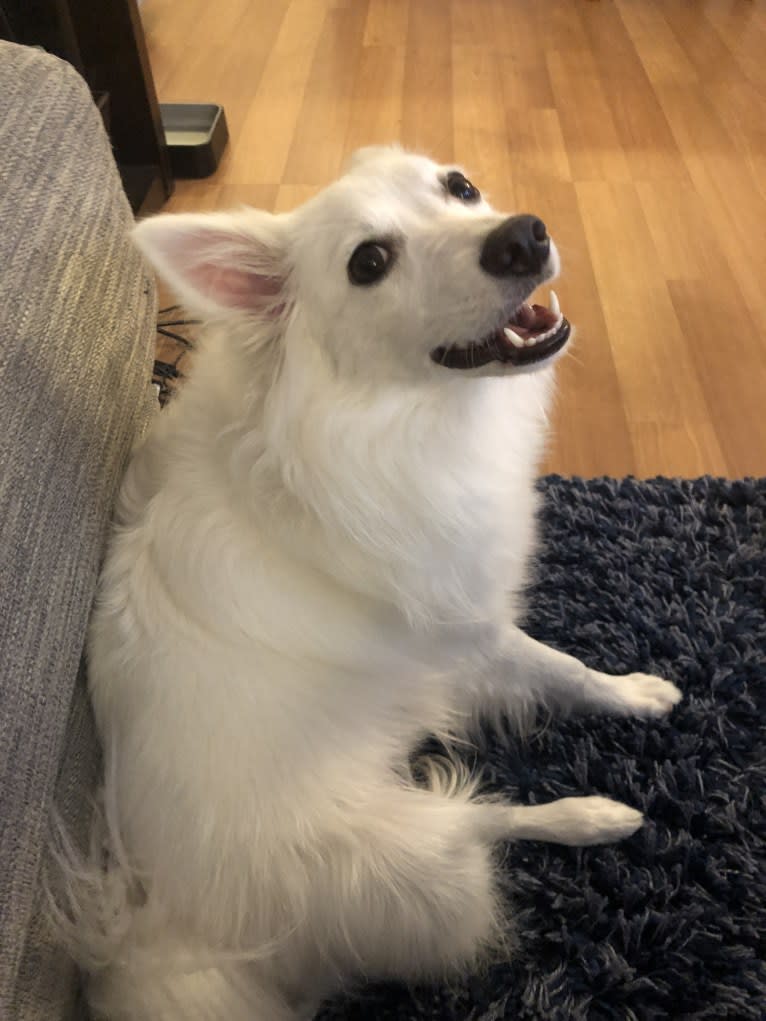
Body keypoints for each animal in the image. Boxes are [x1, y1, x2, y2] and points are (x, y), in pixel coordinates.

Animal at [64, 148, 682, 1016]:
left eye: (460, 187)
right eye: (369, 263)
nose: (522, 236)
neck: (386, 416)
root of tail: (165, 930)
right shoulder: (473, 634)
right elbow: (563, 667)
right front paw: (635, 693)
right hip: (412, 854)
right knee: (482, 824)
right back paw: (594, 815)